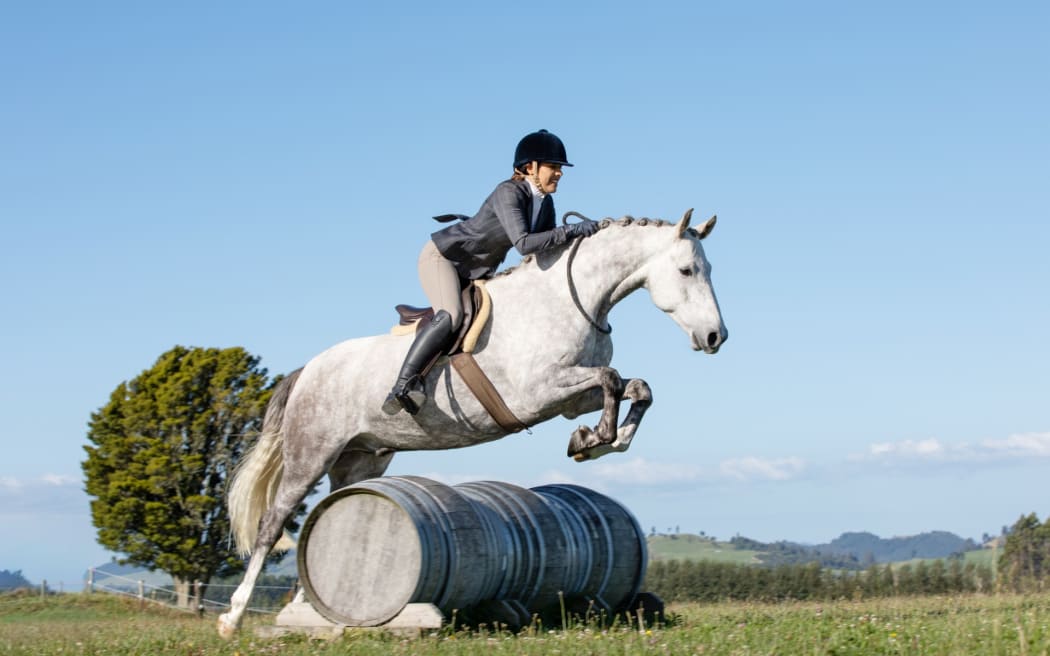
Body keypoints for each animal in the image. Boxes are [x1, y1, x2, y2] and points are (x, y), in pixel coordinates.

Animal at [216, 209, 727, 636]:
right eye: (687, 270)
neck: (572, 301)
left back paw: (308, 610)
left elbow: (636, 387)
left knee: (324, 514)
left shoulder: (567, 397)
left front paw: (596, 440)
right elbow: (612, 378)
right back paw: (234, 617)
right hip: (311, 452)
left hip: (360, 461)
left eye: (708, 270)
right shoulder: (538, 391)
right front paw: (596, 438)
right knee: (272, 523)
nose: (715, 337)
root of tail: (309, 369)